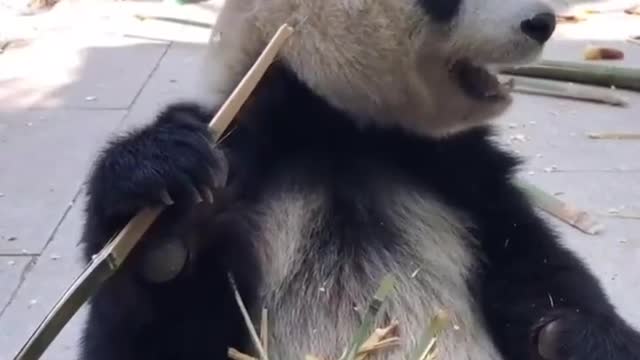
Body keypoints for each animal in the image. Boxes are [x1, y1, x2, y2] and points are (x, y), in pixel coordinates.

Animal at [80, 0, 640, 358]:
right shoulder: (245, 164)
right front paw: (160, 209)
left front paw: (572, 336)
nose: (542, 21)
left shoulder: (466, 184)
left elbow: (543, 278)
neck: (335, 129)